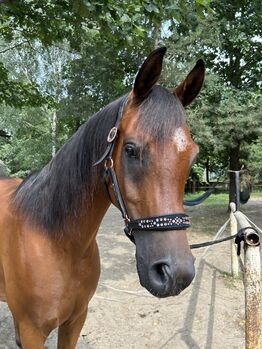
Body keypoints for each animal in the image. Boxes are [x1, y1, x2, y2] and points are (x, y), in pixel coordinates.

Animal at [0, 47, 205, 348]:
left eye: (193, 155)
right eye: (130, 150)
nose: (176, 274)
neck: (57, 242)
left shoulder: (75, 321)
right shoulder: (33, 331)